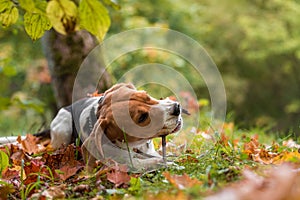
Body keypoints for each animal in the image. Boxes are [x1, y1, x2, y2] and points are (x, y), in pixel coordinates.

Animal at [37, 83, 183, 170]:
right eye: (142, 118)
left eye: (146, 95)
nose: (177, 107)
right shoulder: (127, 162)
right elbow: (150, 162)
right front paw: (168, 164)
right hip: (63, 127)